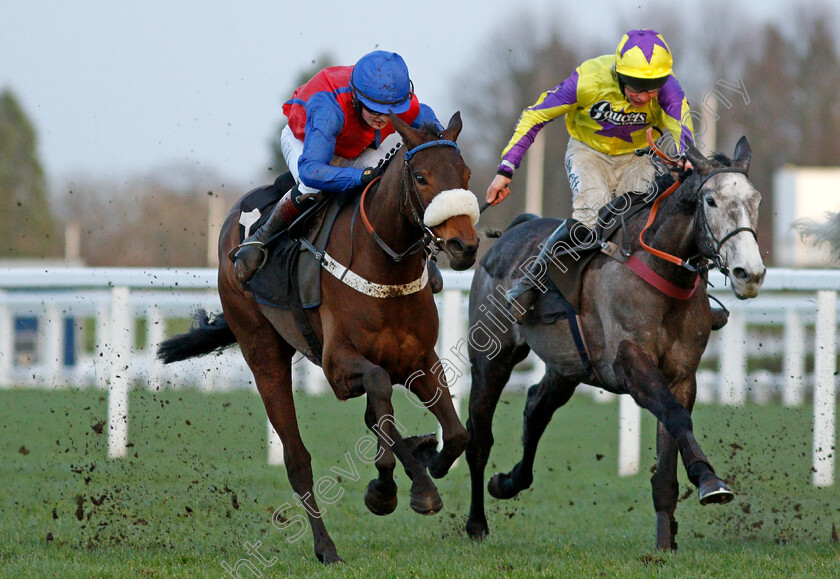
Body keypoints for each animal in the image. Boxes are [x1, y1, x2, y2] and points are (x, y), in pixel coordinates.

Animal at [158, 112, 480, 560]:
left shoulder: (420, 358)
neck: (384, 266)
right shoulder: (338, 366)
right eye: (421, 177)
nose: (464, 246)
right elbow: (379, 394)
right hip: (261, 350)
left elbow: (455, 433)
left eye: (465, 174)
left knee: (377, 416)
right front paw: (388, 490)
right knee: (298, 459)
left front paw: (425, 468)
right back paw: (326, 547)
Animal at [466, 137, 768, 552]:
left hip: (568, 365)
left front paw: (665, 541)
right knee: (479, 436)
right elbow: (676, 416)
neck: (661, 273)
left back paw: (508, 482)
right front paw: (709, 480)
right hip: (491, 357)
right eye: (711, 201)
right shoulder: (630, 363)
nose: (749, 274)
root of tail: (514, 230)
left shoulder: (681, 376)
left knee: (536, 407)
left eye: (755, 199)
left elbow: (672, 439)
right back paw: (476, 524)